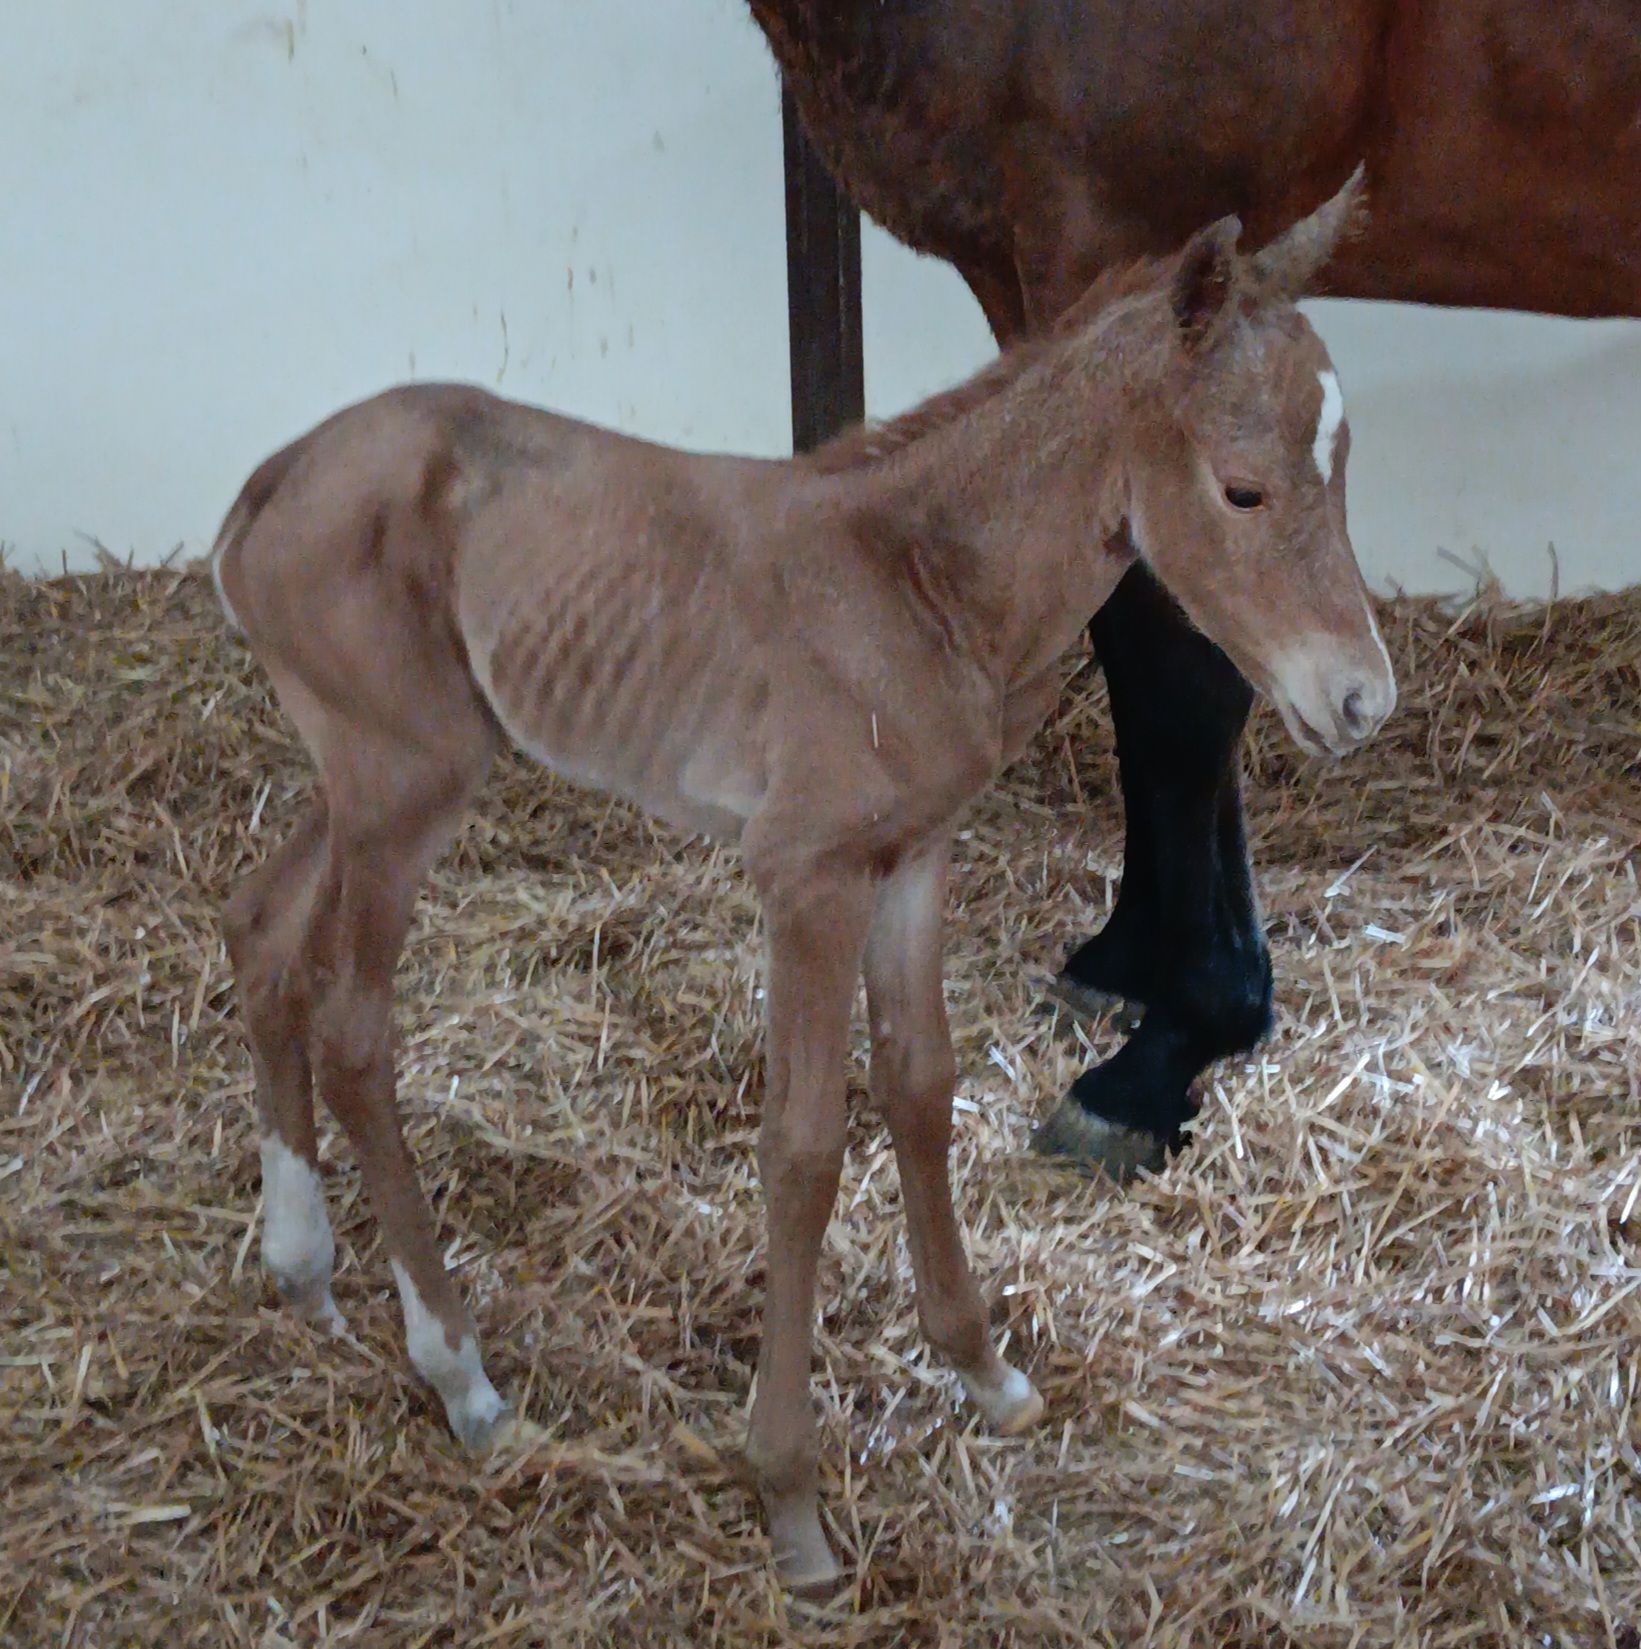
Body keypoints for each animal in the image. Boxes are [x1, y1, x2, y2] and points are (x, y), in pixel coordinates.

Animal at [213, 184, 1391, 1588]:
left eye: (1350, 467)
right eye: (1242, 488)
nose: (1362, 699)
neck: (918, 579)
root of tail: (272, 478)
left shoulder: (915, 853)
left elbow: (923, 1087)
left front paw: (984, 1371)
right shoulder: (807, 873)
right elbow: (805, 1146)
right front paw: (789, 1496)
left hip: (367, 771)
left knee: (262, 928)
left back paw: (302, 1262)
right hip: (403, 785)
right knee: (354, 1028)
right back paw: (461, 1373)